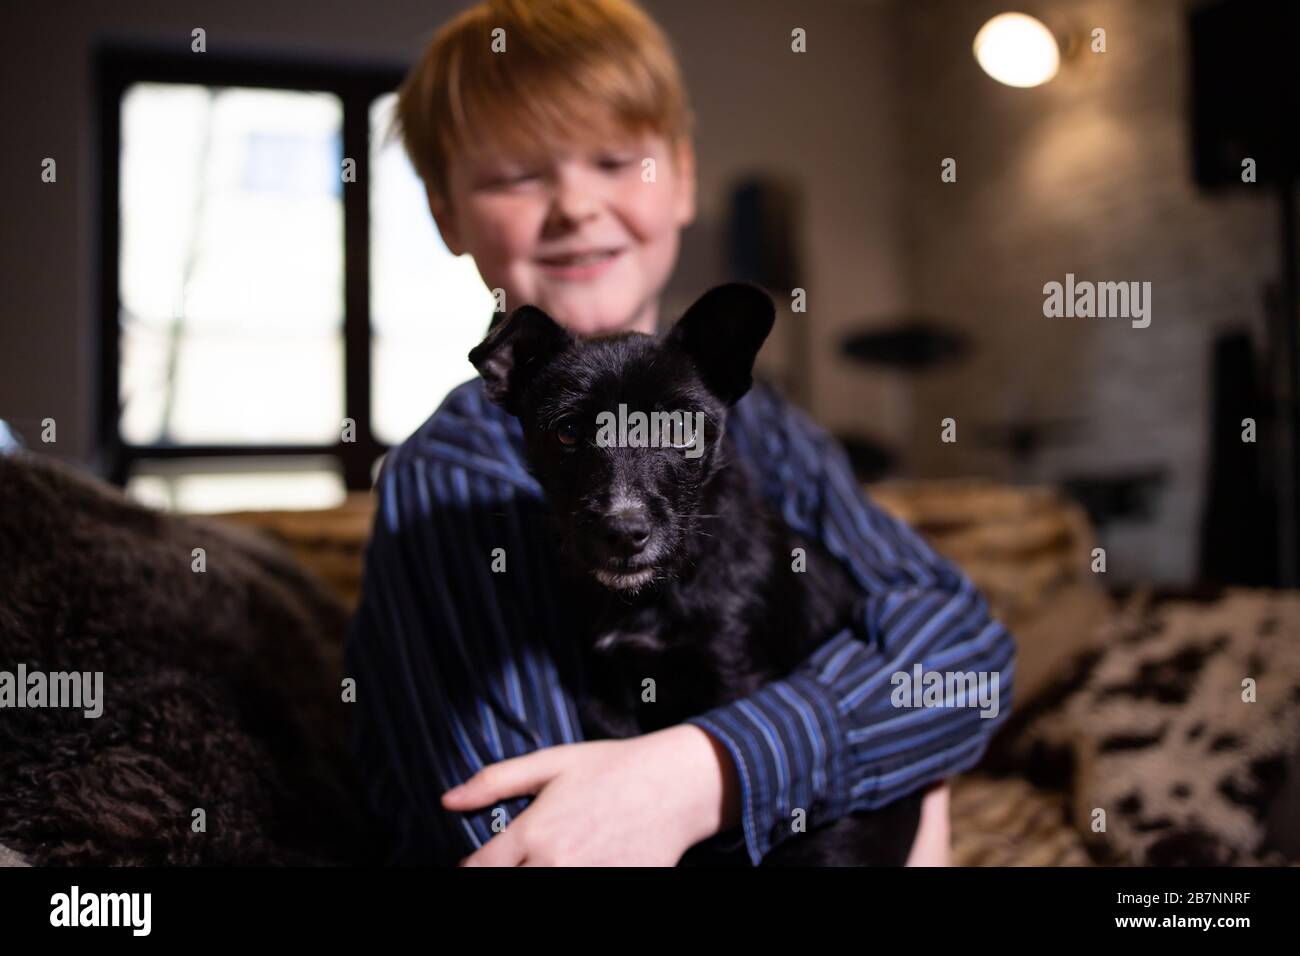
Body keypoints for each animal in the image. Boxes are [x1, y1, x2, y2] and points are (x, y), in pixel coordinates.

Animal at [473, 280, 920, 863]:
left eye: (680, 430)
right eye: (567, 433)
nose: (624, 531)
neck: (654, 596)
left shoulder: (733, 683)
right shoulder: (608, 693)